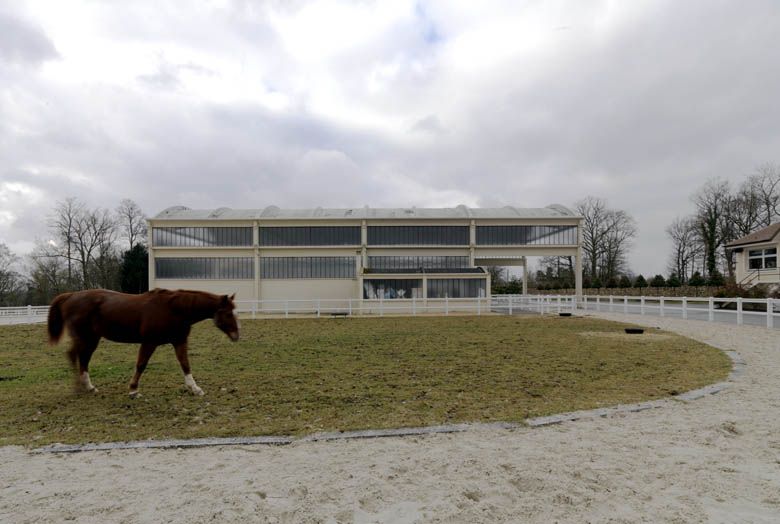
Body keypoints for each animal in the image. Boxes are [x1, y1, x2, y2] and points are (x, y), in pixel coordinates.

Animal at [47, 288, 239, 396]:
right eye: (227, 313)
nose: (236, 335)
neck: (174, 309)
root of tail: (71, 295)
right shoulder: (149, 342)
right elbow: (141, 365)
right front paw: (133, 389)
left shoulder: (179, 341)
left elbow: (185, 364)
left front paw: (195, 388)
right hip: (85, 337)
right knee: (75, 356)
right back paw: (80, 387)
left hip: (92, 338)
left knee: (81, 358)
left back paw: (88, 387)